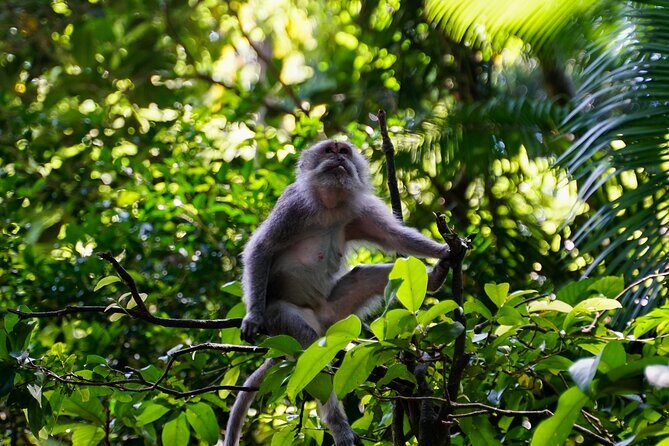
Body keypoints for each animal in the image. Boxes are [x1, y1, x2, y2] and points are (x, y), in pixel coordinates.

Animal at [224, 140, 453, 446]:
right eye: (329, 150)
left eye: (344, 151)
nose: (339, 158)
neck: (329, 204)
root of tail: (321, 320)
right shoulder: (292, 206)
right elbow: (262, 247)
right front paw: (252, 317)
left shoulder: (360, 210)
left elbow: (395, 237)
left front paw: (446, 249)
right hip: (282, 317)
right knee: (309, 348)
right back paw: (339, 426)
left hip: (337, 311)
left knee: (370, 275)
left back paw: (434, 278)